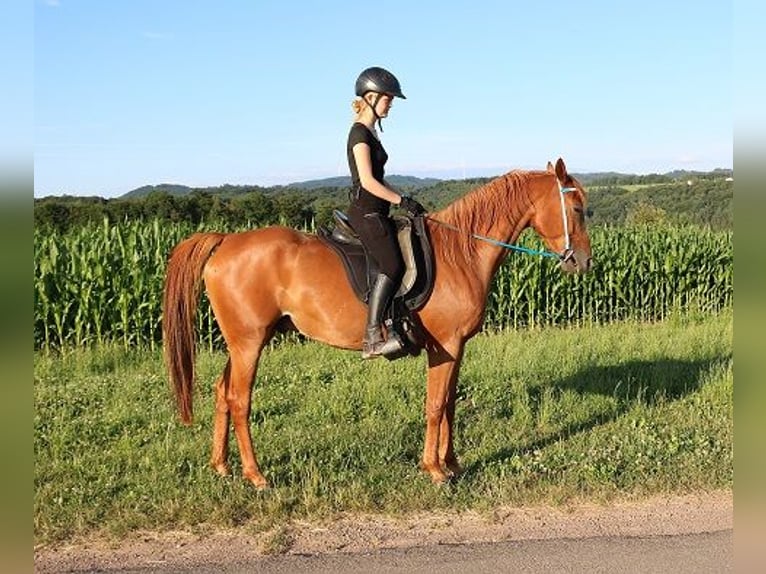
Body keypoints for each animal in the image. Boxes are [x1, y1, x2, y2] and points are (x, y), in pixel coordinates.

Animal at [162, 158, 592, 489]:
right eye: (576, 209)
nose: (583, 262)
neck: (460, 252)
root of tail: (225, 242)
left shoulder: (457, 348)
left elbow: (450, 403)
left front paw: (452, 463)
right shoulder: (445, 346)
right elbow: (435, 405)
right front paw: (434, 470)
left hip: (241, 343)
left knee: (222, 392)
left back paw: (221, 466)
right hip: (249, 344)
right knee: (239, 400)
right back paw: (256, 476)